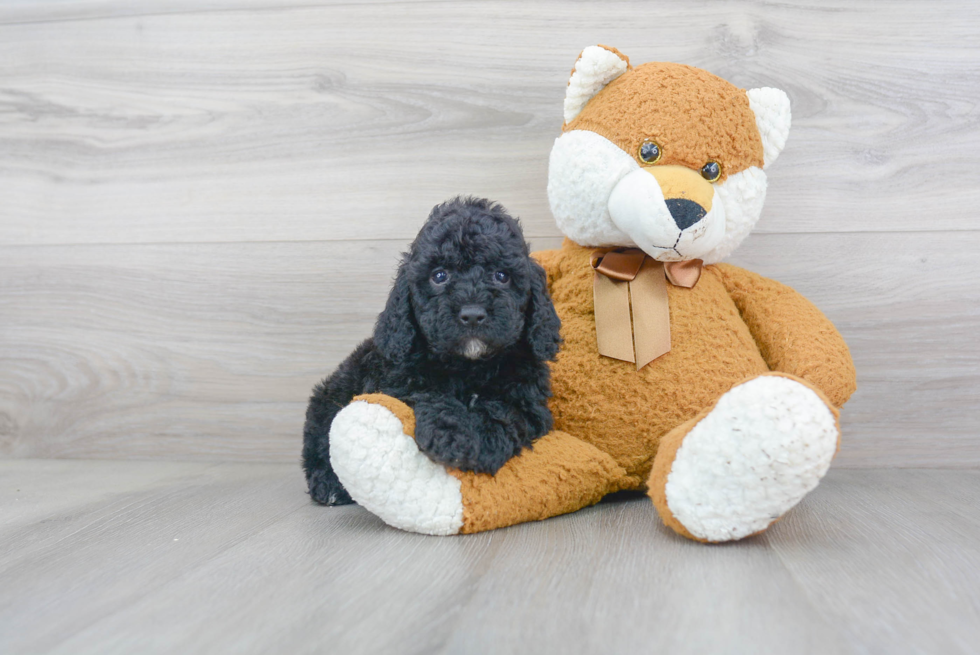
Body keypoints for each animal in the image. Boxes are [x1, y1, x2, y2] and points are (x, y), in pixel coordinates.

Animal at [300, 199, 560, 508]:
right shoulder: (397, 382)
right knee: (319, 444)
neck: (469, 366)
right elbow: (429, 394)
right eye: (439, 276)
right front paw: (451, 433)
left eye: (502, 276)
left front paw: (475, 440)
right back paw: (329, 485)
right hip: (331, 397)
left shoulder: (530, 403)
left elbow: (503, 411)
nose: (472, 314)